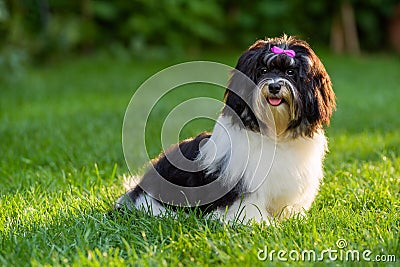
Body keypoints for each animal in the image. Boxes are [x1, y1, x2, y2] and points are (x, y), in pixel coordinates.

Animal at [115, 35, 334, 224]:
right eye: (263, 71)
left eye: (290, 73)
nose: (274, 87)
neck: (275, 135)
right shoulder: (242, 185)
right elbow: (247, 207)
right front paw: (259, 224)